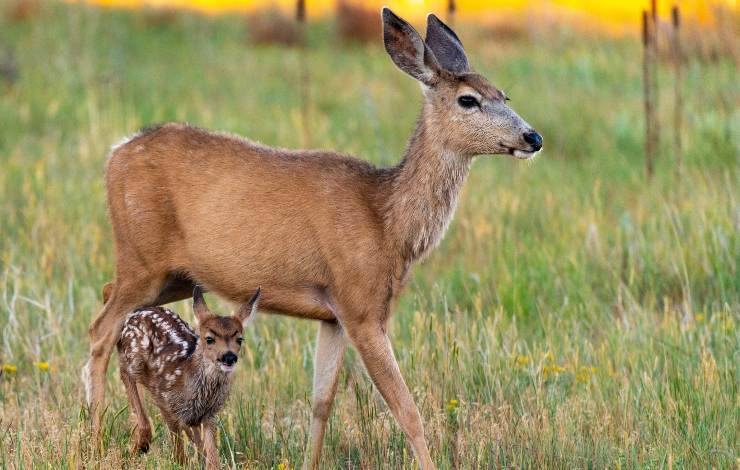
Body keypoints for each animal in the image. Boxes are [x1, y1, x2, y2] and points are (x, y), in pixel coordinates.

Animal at [84, 9, 540, 468]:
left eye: (504, 95)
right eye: (468, 99)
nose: (532, 137)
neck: (386, 220)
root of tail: (116, 153)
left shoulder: (332, 314)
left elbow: (321, 402)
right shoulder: (360, 305)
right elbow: (406, 409)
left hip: (173, 275)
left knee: (106, 299)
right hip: (141, 257)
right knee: (100, 331)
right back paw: (101, 439)